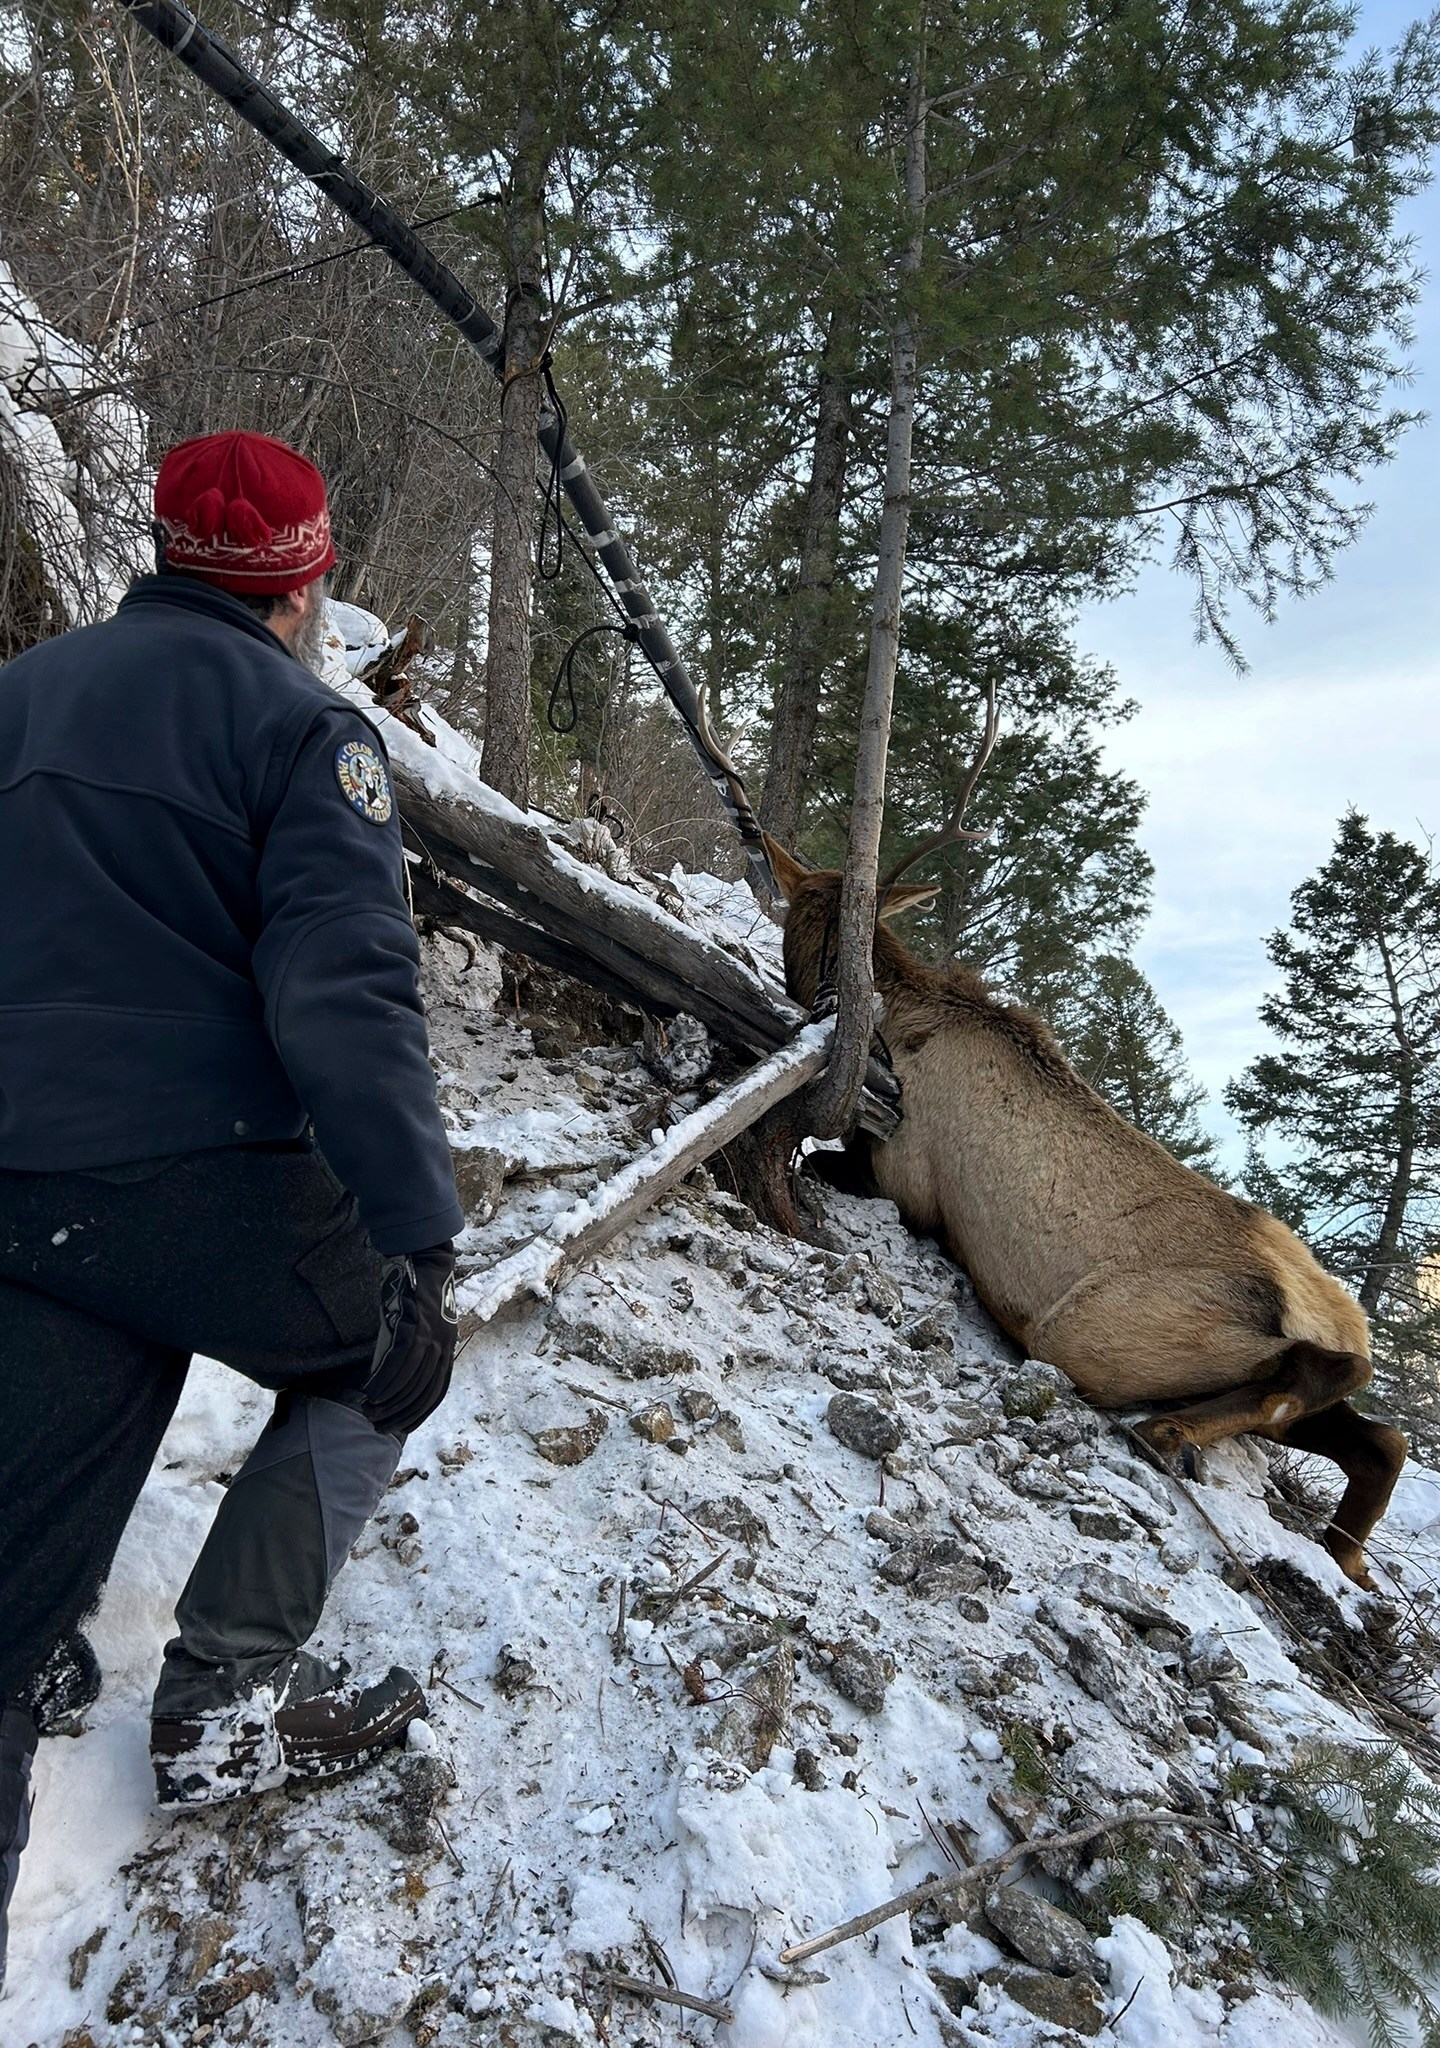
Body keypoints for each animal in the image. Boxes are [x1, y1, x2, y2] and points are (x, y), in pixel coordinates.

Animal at [766, 831, 1409, 1581]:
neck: (892, 1013)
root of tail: (1341, 1319)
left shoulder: (905, 1178)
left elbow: (830, 1163)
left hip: (1091, 1333)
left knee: (1324, 1382)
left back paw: (1170, 1435)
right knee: (1380, 1438)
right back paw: (1348, 1556)